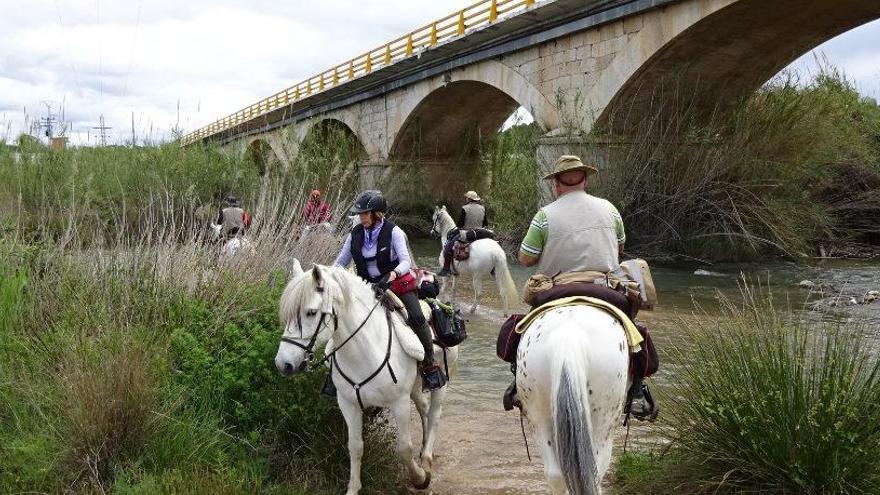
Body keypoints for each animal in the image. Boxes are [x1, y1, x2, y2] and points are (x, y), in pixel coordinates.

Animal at [274, 262, 460, 494]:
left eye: (311, 312)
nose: (284, 364)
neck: (363, 350)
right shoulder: (348, 404)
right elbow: (355, 446)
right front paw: (353, 488)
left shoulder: (399, 402)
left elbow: (404, 448)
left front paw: (419, 478)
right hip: (416, 385)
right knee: (424, 408)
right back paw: (425, 449)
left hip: (442, 379)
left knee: (434, 414)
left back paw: (426, 460)